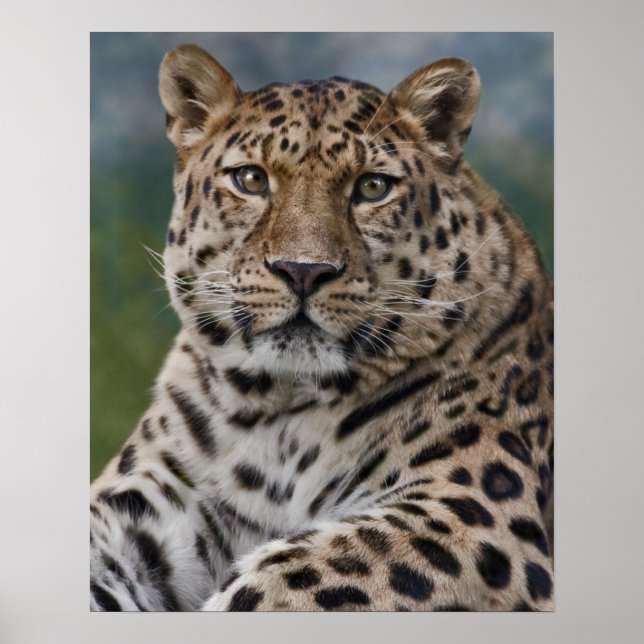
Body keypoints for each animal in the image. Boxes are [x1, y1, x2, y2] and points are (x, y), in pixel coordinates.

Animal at [90, 44, 554, 612]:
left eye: (372, 187)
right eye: (250, 179)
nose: (303, 270)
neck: (279, 417)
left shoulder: (472, 517)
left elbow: (281, 578)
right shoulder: (142, 509)